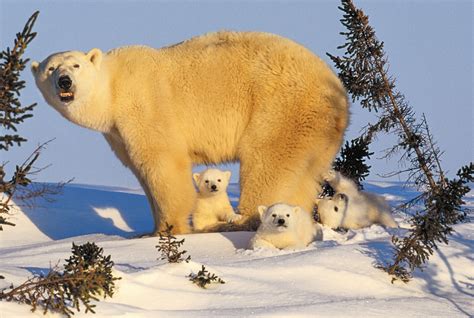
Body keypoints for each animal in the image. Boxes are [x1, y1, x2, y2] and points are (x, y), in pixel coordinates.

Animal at [30, 31, 348, 234]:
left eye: (76, 65)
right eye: (51, 68)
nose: (65, 82)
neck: (114, 87)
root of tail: (337, 90)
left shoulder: (145, 106)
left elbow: (163, 164)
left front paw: (168, 229)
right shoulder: (117, 133)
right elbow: (140, 170)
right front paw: (151, 228)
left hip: (281, 108)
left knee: (267, 164)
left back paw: (242, 221)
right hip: (316, 131)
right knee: (304, 173)